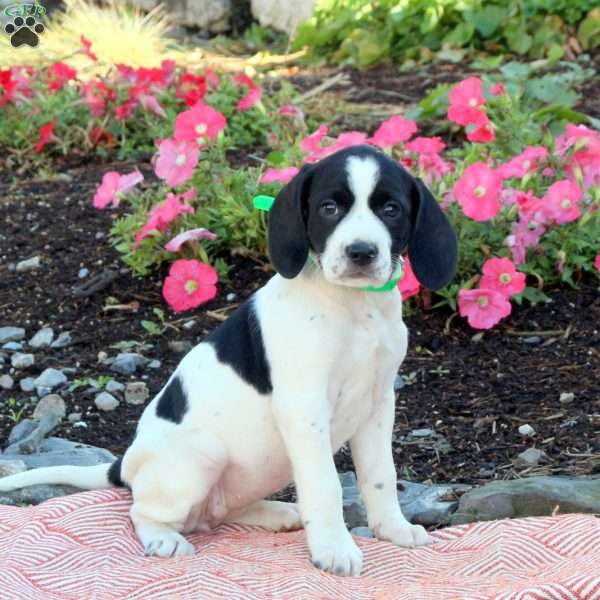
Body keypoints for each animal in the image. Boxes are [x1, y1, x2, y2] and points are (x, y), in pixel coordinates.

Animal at [0, 144, 458, 576]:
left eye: (391, 209)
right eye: (329, 208)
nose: (361, 252)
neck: (355, 308)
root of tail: (127, 464)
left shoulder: (378, 403)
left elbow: (381, 476)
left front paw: (393, 530)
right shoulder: (305, 409)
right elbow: (325, 484)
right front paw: (334, 548)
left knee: (217, 514)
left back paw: (277, 513)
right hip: (202, 457)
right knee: (143, 512)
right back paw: (164, 539)